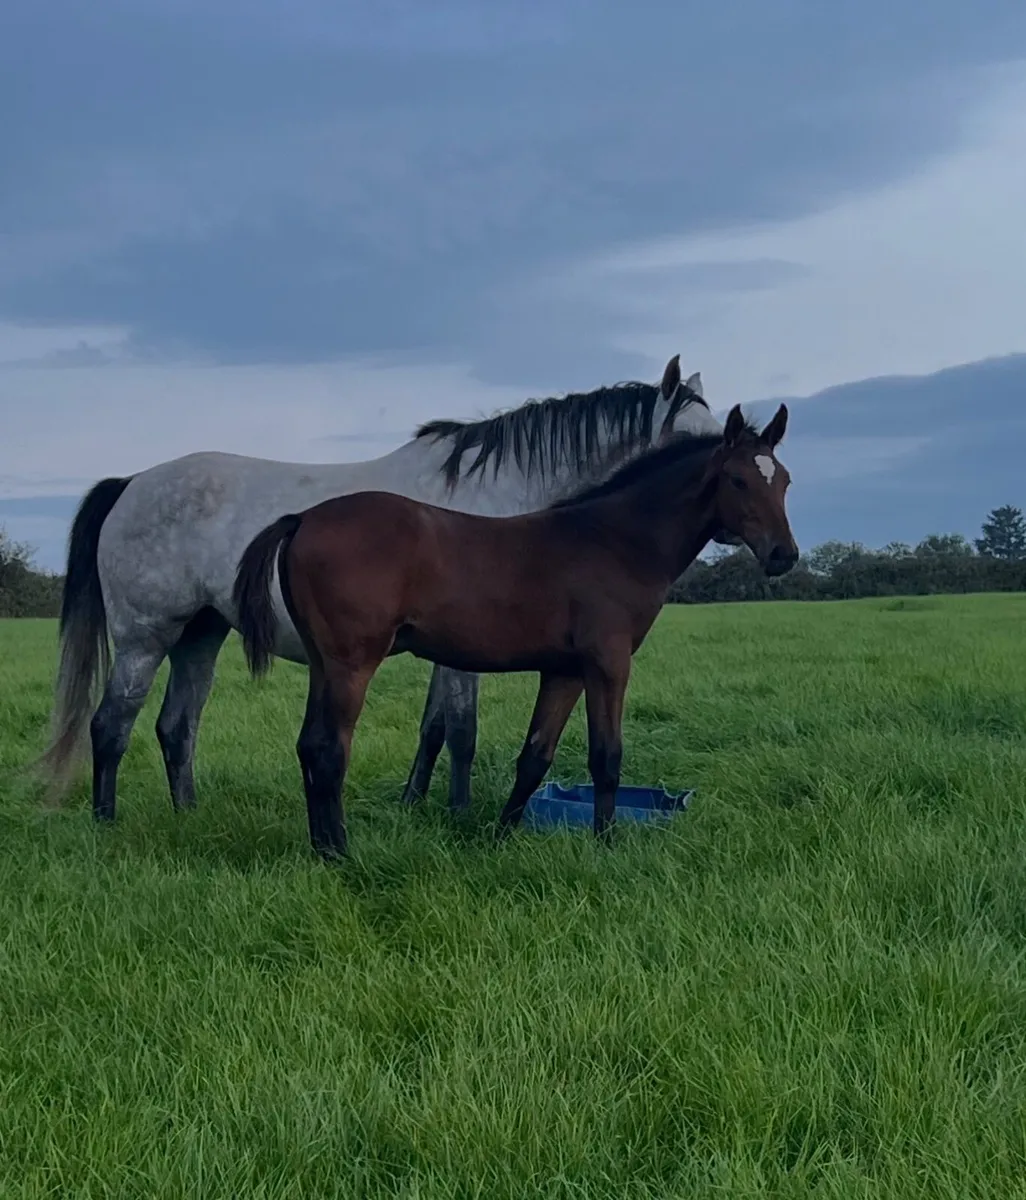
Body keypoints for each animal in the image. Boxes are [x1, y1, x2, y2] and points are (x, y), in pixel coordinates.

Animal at [34, 354, 724, 824]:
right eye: (696, 440)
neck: (498, 498)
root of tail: (130, 483)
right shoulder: (463, 656)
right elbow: (462, 731)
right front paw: (459, 816)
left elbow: (434, 728)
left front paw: (416, 803)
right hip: (145, 639)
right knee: (110, 726)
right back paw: (106, 822)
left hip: (200, 636)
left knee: (176, 728)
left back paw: (189, 817)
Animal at [232, 403, 798, 859]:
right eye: (738, 480)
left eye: (785, 480)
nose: (783, 555)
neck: (614, 540)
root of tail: (303, 518)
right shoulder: (608, 664)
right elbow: (606, 757)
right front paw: (607, 845)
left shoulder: (564, 672)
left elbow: (535, 757)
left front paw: (502, 837)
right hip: (352, 665)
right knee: (330, 750)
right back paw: (340, 854)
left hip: (324, 665)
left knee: (309, 746)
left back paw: (321, 848)